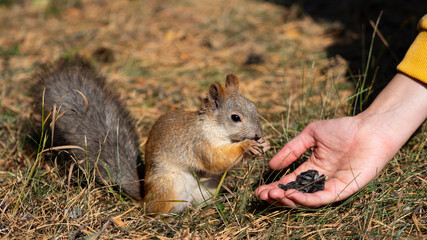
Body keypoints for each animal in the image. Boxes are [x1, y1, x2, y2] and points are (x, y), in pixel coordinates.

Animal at [33, 56, 270, 214]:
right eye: (235, 118)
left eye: (254, 106)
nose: (258, 133)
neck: (214, 127)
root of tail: (145, 197)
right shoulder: (198, 143)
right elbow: (216, 160)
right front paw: (247, 146)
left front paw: (264, 144)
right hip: (170, 185)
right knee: (156, 212)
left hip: (207, 188)